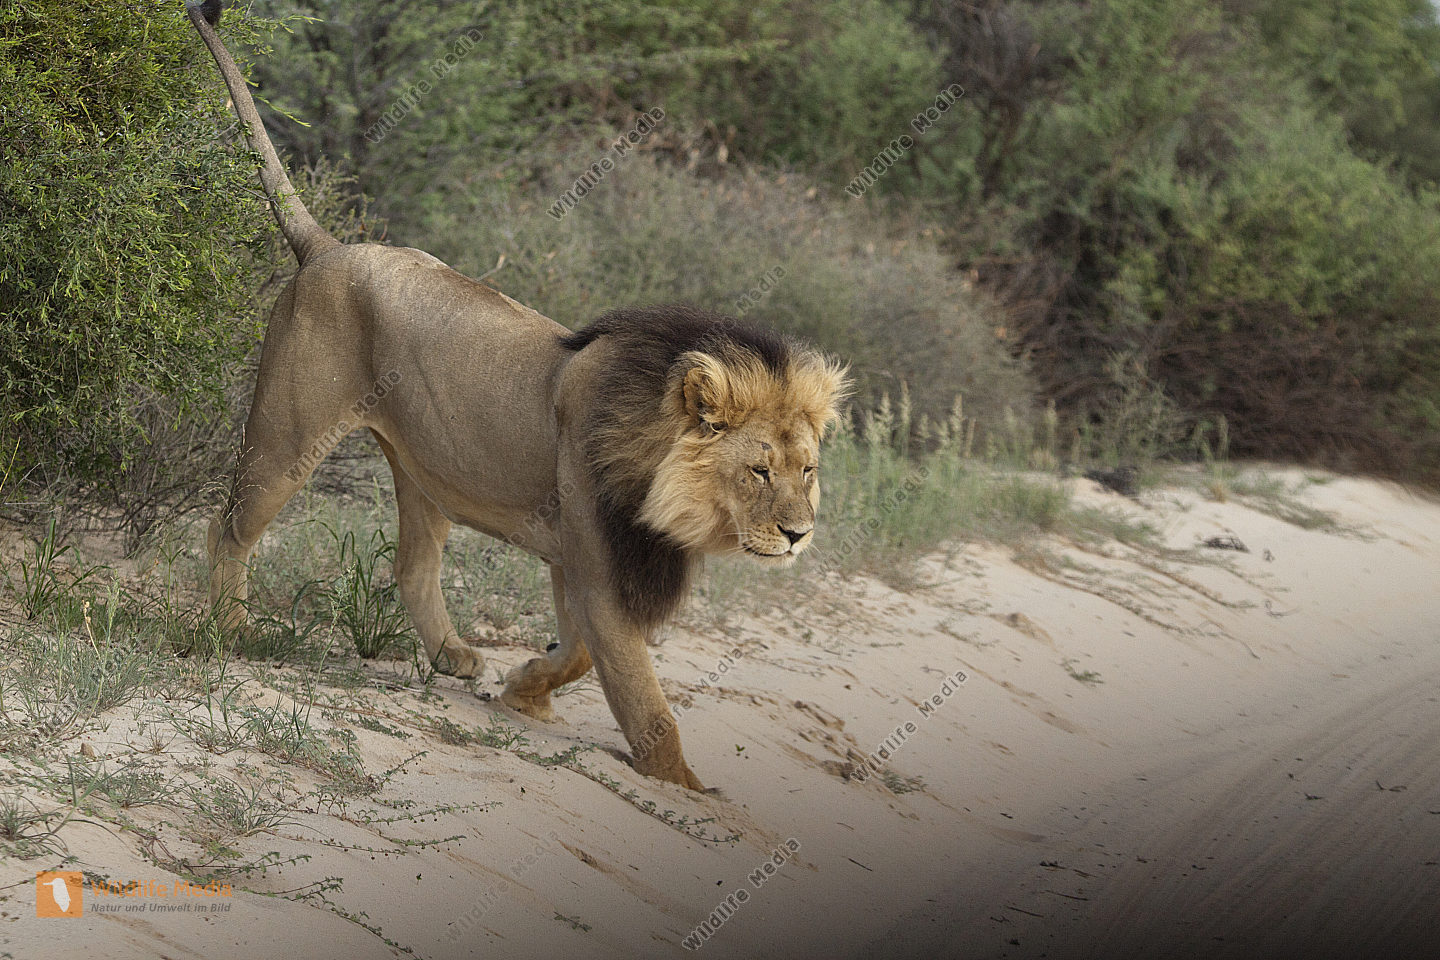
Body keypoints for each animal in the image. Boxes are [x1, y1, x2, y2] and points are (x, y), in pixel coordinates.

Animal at [188, 0, 848, 791]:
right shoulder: (597, 565)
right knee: (231, 528)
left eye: (807, 470)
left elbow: (582, 653)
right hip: (288, 436)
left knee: (413, 566)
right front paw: (692, 792)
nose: (799, 535)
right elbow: (644, 701)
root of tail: (326, 246)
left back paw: (453, 657)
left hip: (423, 467)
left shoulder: (576, 560)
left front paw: (525, 688)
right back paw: (230, 632)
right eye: (757, 471)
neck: (656, 463)